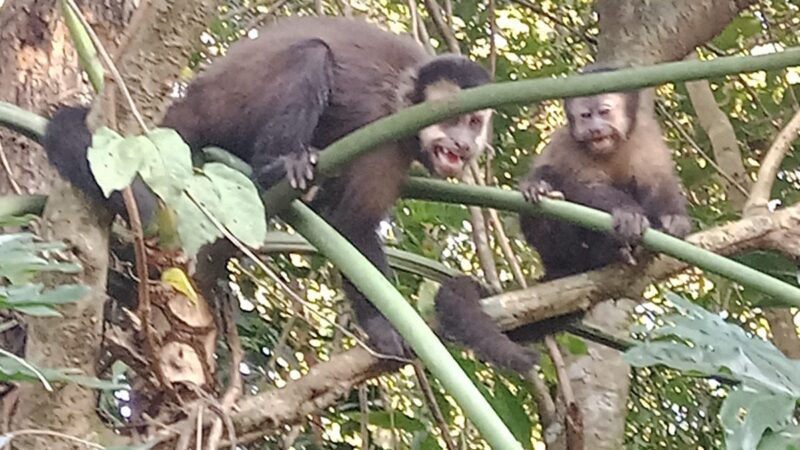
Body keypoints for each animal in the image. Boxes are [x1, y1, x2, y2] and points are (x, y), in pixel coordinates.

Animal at [41, 16, 494, 359]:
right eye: (454, 118)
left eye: (474, 122)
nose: (462, 144)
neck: (408, 106)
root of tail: (182, 107)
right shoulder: (384, 130)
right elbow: (353, 227)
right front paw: (382, 325)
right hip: (222, 105)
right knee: (310, 57)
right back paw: (275, 166)